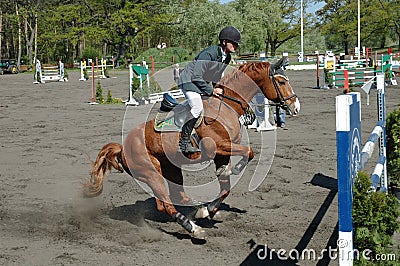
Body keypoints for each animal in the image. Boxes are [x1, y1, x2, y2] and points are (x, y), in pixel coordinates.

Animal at [83, 57, 300, 239]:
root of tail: (122, 147)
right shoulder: (217, 148)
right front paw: (234, 171)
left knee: (178, 196)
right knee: (165, 205)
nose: (295, 107)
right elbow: (249, 153)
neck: (227, 105)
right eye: (281, 82)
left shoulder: (222, 154)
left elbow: (225, 188)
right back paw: (193, 229)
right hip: (151, 173)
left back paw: (196, 209)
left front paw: (209, 209)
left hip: (171, 169)